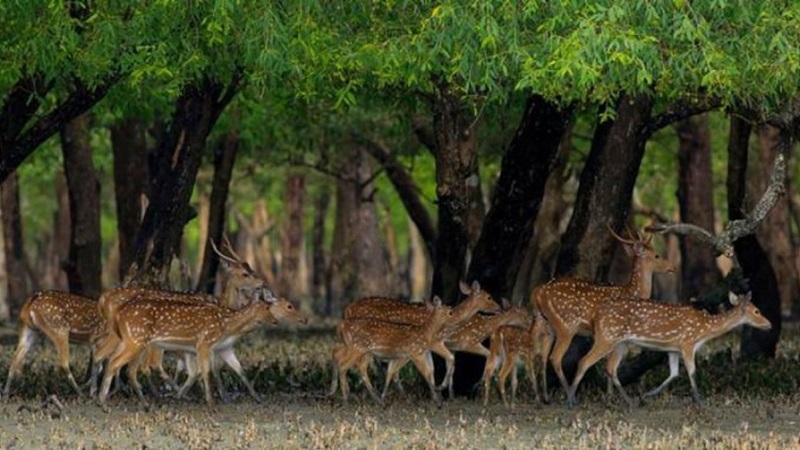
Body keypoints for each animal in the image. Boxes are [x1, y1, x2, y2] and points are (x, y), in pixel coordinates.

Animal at [532, 227, 676, 402]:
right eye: (656, 255)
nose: (672, 267)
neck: (631, 291)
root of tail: (538, 292)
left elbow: (608, 363)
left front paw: (609, 395)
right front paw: (610, 396)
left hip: (545, 324)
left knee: (541, 356)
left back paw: (544, 397)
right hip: (566, 325)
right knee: (555, 357)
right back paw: (570, 396)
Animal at [564, 290, 772, 406]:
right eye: (757, 311)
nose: (769, 324)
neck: (704, 330)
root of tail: (596, 316)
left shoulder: (673, 348)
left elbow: (674, 374)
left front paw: (647, 395)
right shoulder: (687, 342)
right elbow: (692, 372)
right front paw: (700, 401)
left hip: (621, 343)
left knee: (610, 368)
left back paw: (630, 401)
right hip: (607, 337)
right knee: (584, 361)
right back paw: (571, 400)